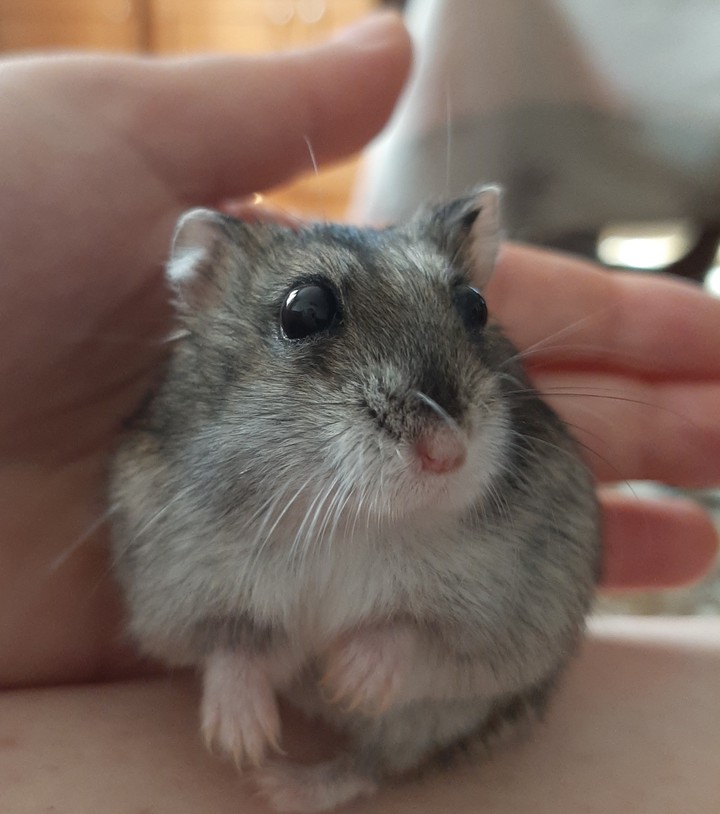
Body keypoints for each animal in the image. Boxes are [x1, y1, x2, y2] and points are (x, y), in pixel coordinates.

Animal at [109, 187, 600, 812]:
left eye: (476, 306)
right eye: (305, 310)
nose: (446, 453)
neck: (352, 521)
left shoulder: (502, 629)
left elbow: (411, 634)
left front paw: (345, 682)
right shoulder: (186, 596)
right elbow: (235, 648)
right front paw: (240, 740)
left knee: (373, 764)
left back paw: (288, 786)